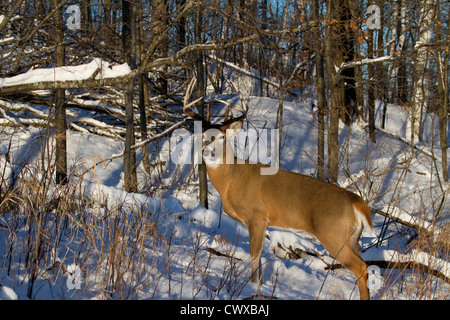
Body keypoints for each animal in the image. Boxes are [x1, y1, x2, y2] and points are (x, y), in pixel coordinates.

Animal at [183, 79, 372, 298]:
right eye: (202, 135)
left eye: (222, 137)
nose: (206, 151)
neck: (232, 180)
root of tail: (356, 201)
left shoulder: (257, 216)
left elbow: (254, 253)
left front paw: (254, 285)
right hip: (352, 238)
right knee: (364, 265)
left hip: (334, 234)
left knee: (361, 267)